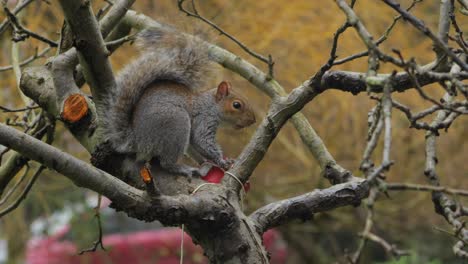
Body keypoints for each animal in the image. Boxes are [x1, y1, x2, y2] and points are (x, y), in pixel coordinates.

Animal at [99, 27, 258, 178]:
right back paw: (182, 168)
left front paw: (208, 162)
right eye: (236, 105)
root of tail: (137, 140)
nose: (253, 120)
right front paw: (222, 161)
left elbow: (195, 147)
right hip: (176, 124)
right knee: (166, 163)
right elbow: (202, 141)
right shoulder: (204, 119)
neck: (211, 106)